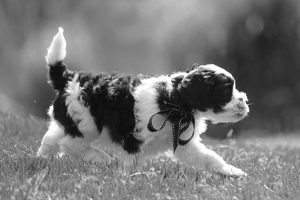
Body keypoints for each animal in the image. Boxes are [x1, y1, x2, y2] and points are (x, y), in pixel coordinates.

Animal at [37, 27, 248, 177]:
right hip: (86, 123)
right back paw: (100, 158)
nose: (245, 101)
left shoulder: (184, 144)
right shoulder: (133, 138)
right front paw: (130, 179)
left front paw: (231, 171)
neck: (174, 101)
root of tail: (69, 78)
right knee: (70, 144)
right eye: (227, 90)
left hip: (71, 120)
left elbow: (209, 157)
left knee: (53, 136)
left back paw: (43, 157)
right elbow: (132, 162)